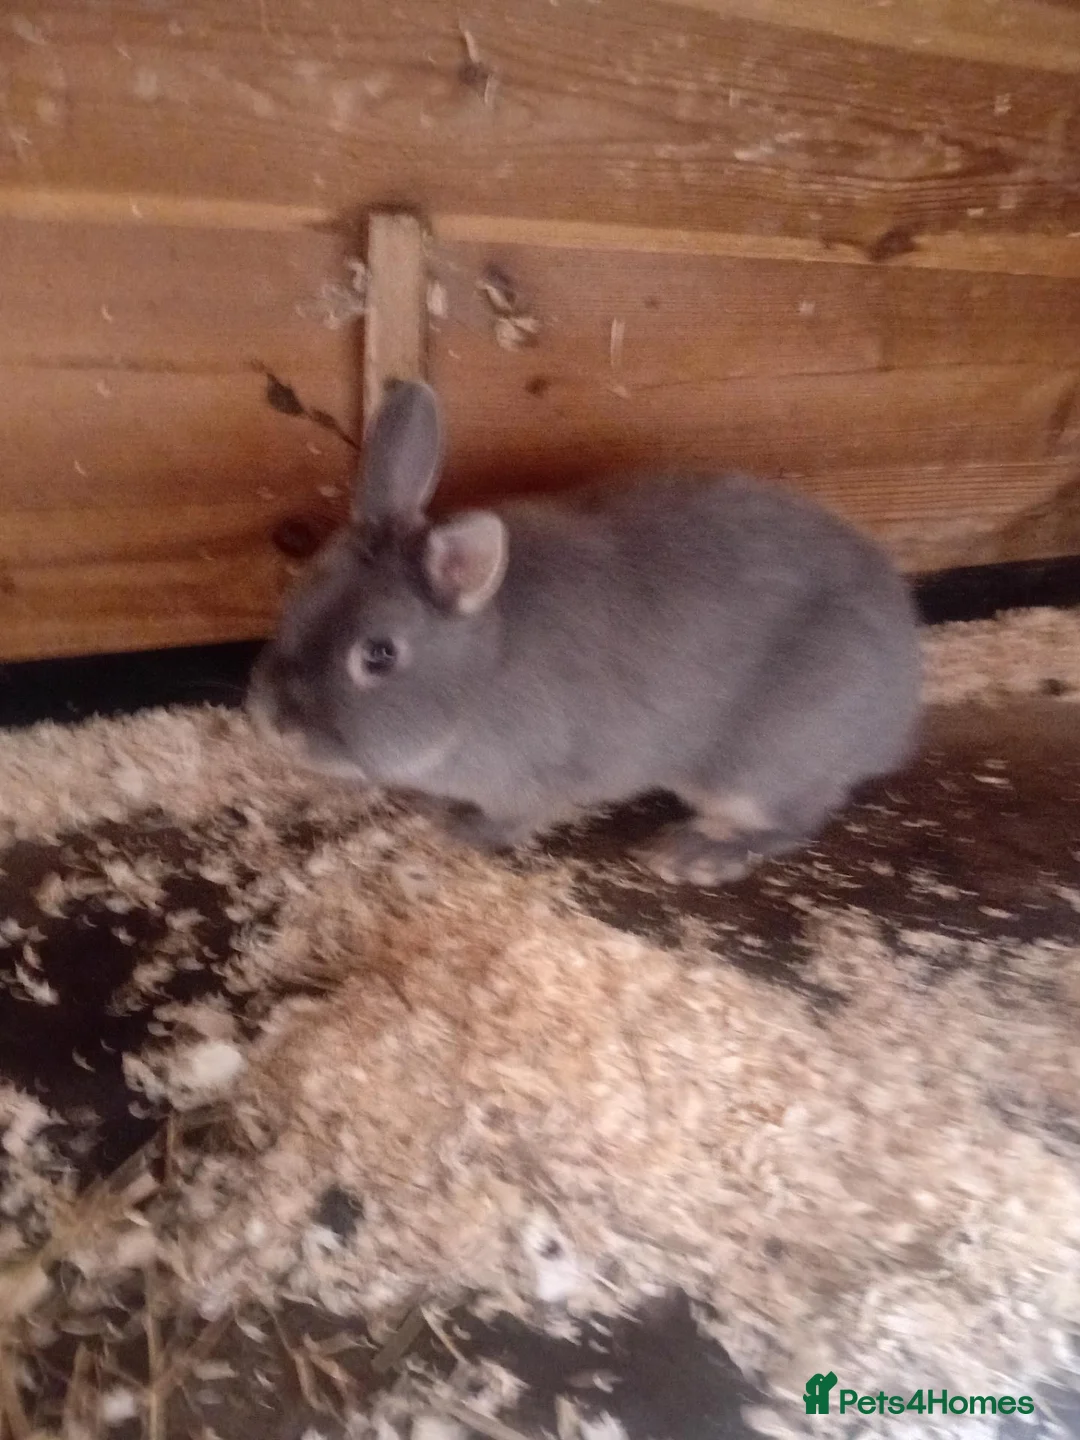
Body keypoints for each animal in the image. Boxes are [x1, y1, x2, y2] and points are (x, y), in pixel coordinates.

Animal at [247, 379, 922, 886]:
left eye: (379, 655)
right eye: (296, 599)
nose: (275, 724)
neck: (481, 670)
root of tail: (897, 715)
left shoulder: (530, 779)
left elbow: (511, 821)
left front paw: (458, 830)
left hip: (756, 769)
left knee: (791, 823)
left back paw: (695, 854)